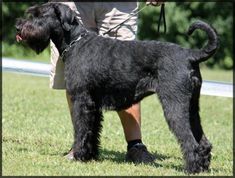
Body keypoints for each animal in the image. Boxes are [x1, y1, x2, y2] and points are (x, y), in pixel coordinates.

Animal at [15, 2, 219, 174]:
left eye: (39, 14)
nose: (18, 26)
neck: (75, 42)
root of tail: (190, 55)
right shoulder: (93, 104)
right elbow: (92, 130)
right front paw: (90, 155)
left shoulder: (81, 100)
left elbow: (81, 129)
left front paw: (79, 155)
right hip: (192, 107)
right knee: (203, 140)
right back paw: (203, 166)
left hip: (174, 106)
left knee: (189, 140)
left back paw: (191, 168)